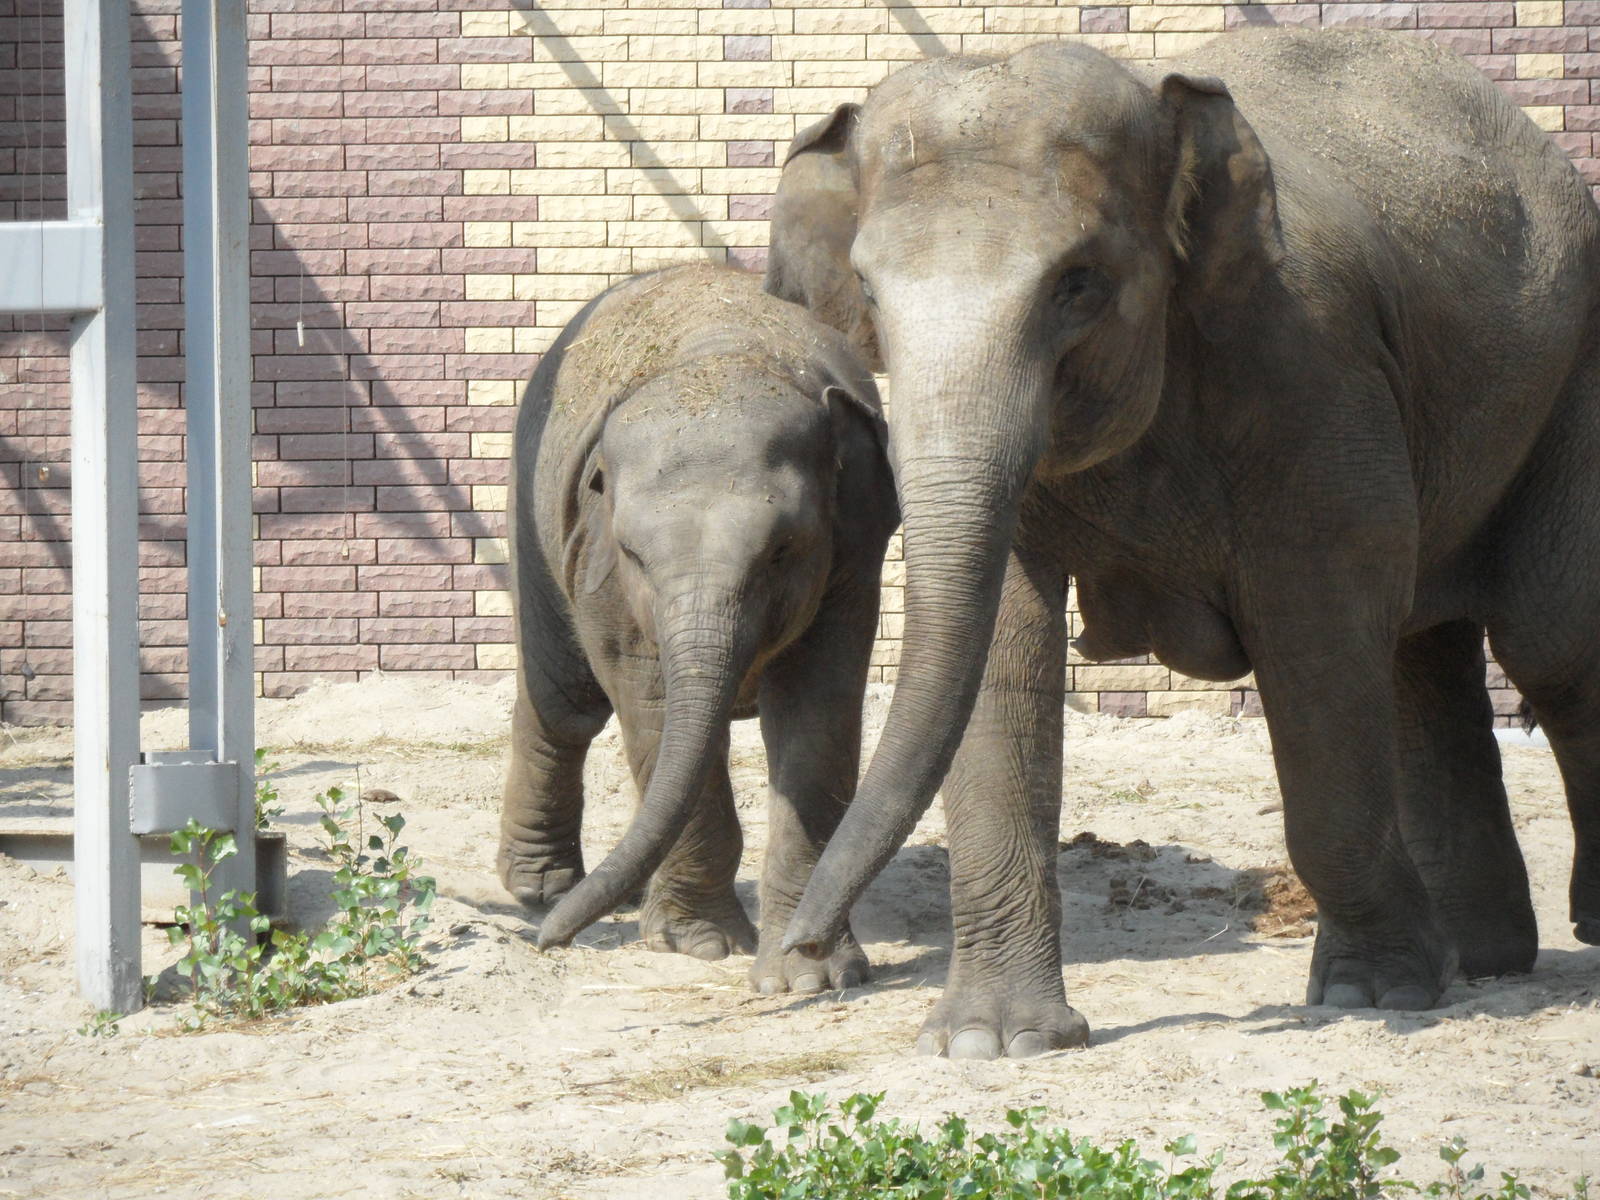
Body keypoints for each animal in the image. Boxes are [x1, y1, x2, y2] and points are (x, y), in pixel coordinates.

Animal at [498, 263, 898, 994]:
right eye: (634, 554)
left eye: (782, 550)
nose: (549, 945)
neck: (723, 355)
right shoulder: (598, 560)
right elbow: (651, 703)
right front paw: (700, 944)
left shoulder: (856, 554)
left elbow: (817, 711)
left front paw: (810, 973)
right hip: (532, 520)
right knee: (565, 703)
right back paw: (547, 890)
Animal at [758, 27, 1600, 1058]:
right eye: (869, 294)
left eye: (1077, 283)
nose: (802, 954)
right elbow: (1000, 643)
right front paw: (995, 1042)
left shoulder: (1314, 365)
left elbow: (1321, 628)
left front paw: (1372, 992)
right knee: (1424, 653)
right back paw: (1479, 961)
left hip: (1575, 375)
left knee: (1550, 642)